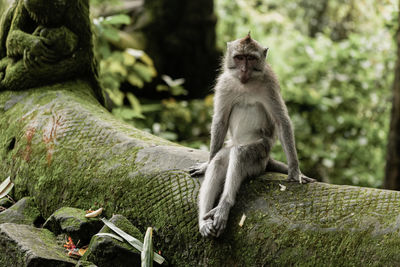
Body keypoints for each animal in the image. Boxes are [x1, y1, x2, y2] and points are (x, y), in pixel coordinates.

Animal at [189, 32, 314, 238]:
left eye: (251, 58)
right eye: (239, 57)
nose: (244, 70)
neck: (245, 84)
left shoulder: (270, 84)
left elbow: (282, 121)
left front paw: (295, 170)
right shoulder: (224, 83)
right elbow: (220, 121)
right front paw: (206, 163)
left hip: (260, 156)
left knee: (241, 154)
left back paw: (223, 207)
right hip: (232, 146)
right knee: (219, 161)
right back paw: (204, 221)